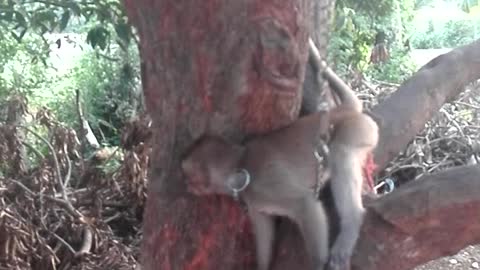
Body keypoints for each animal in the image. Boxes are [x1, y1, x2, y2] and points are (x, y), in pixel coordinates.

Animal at [181, 39, 378, 268]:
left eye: (189, 177)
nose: (187, 186)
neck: (241, 163)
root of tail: (344, 111)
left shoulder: (266, 186)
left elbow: (306, 205)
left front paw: (317, 263)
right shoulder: (254, 202)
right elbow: (265, 233)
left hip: (360, 130)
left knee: (340, 152)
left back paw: (352, 223)